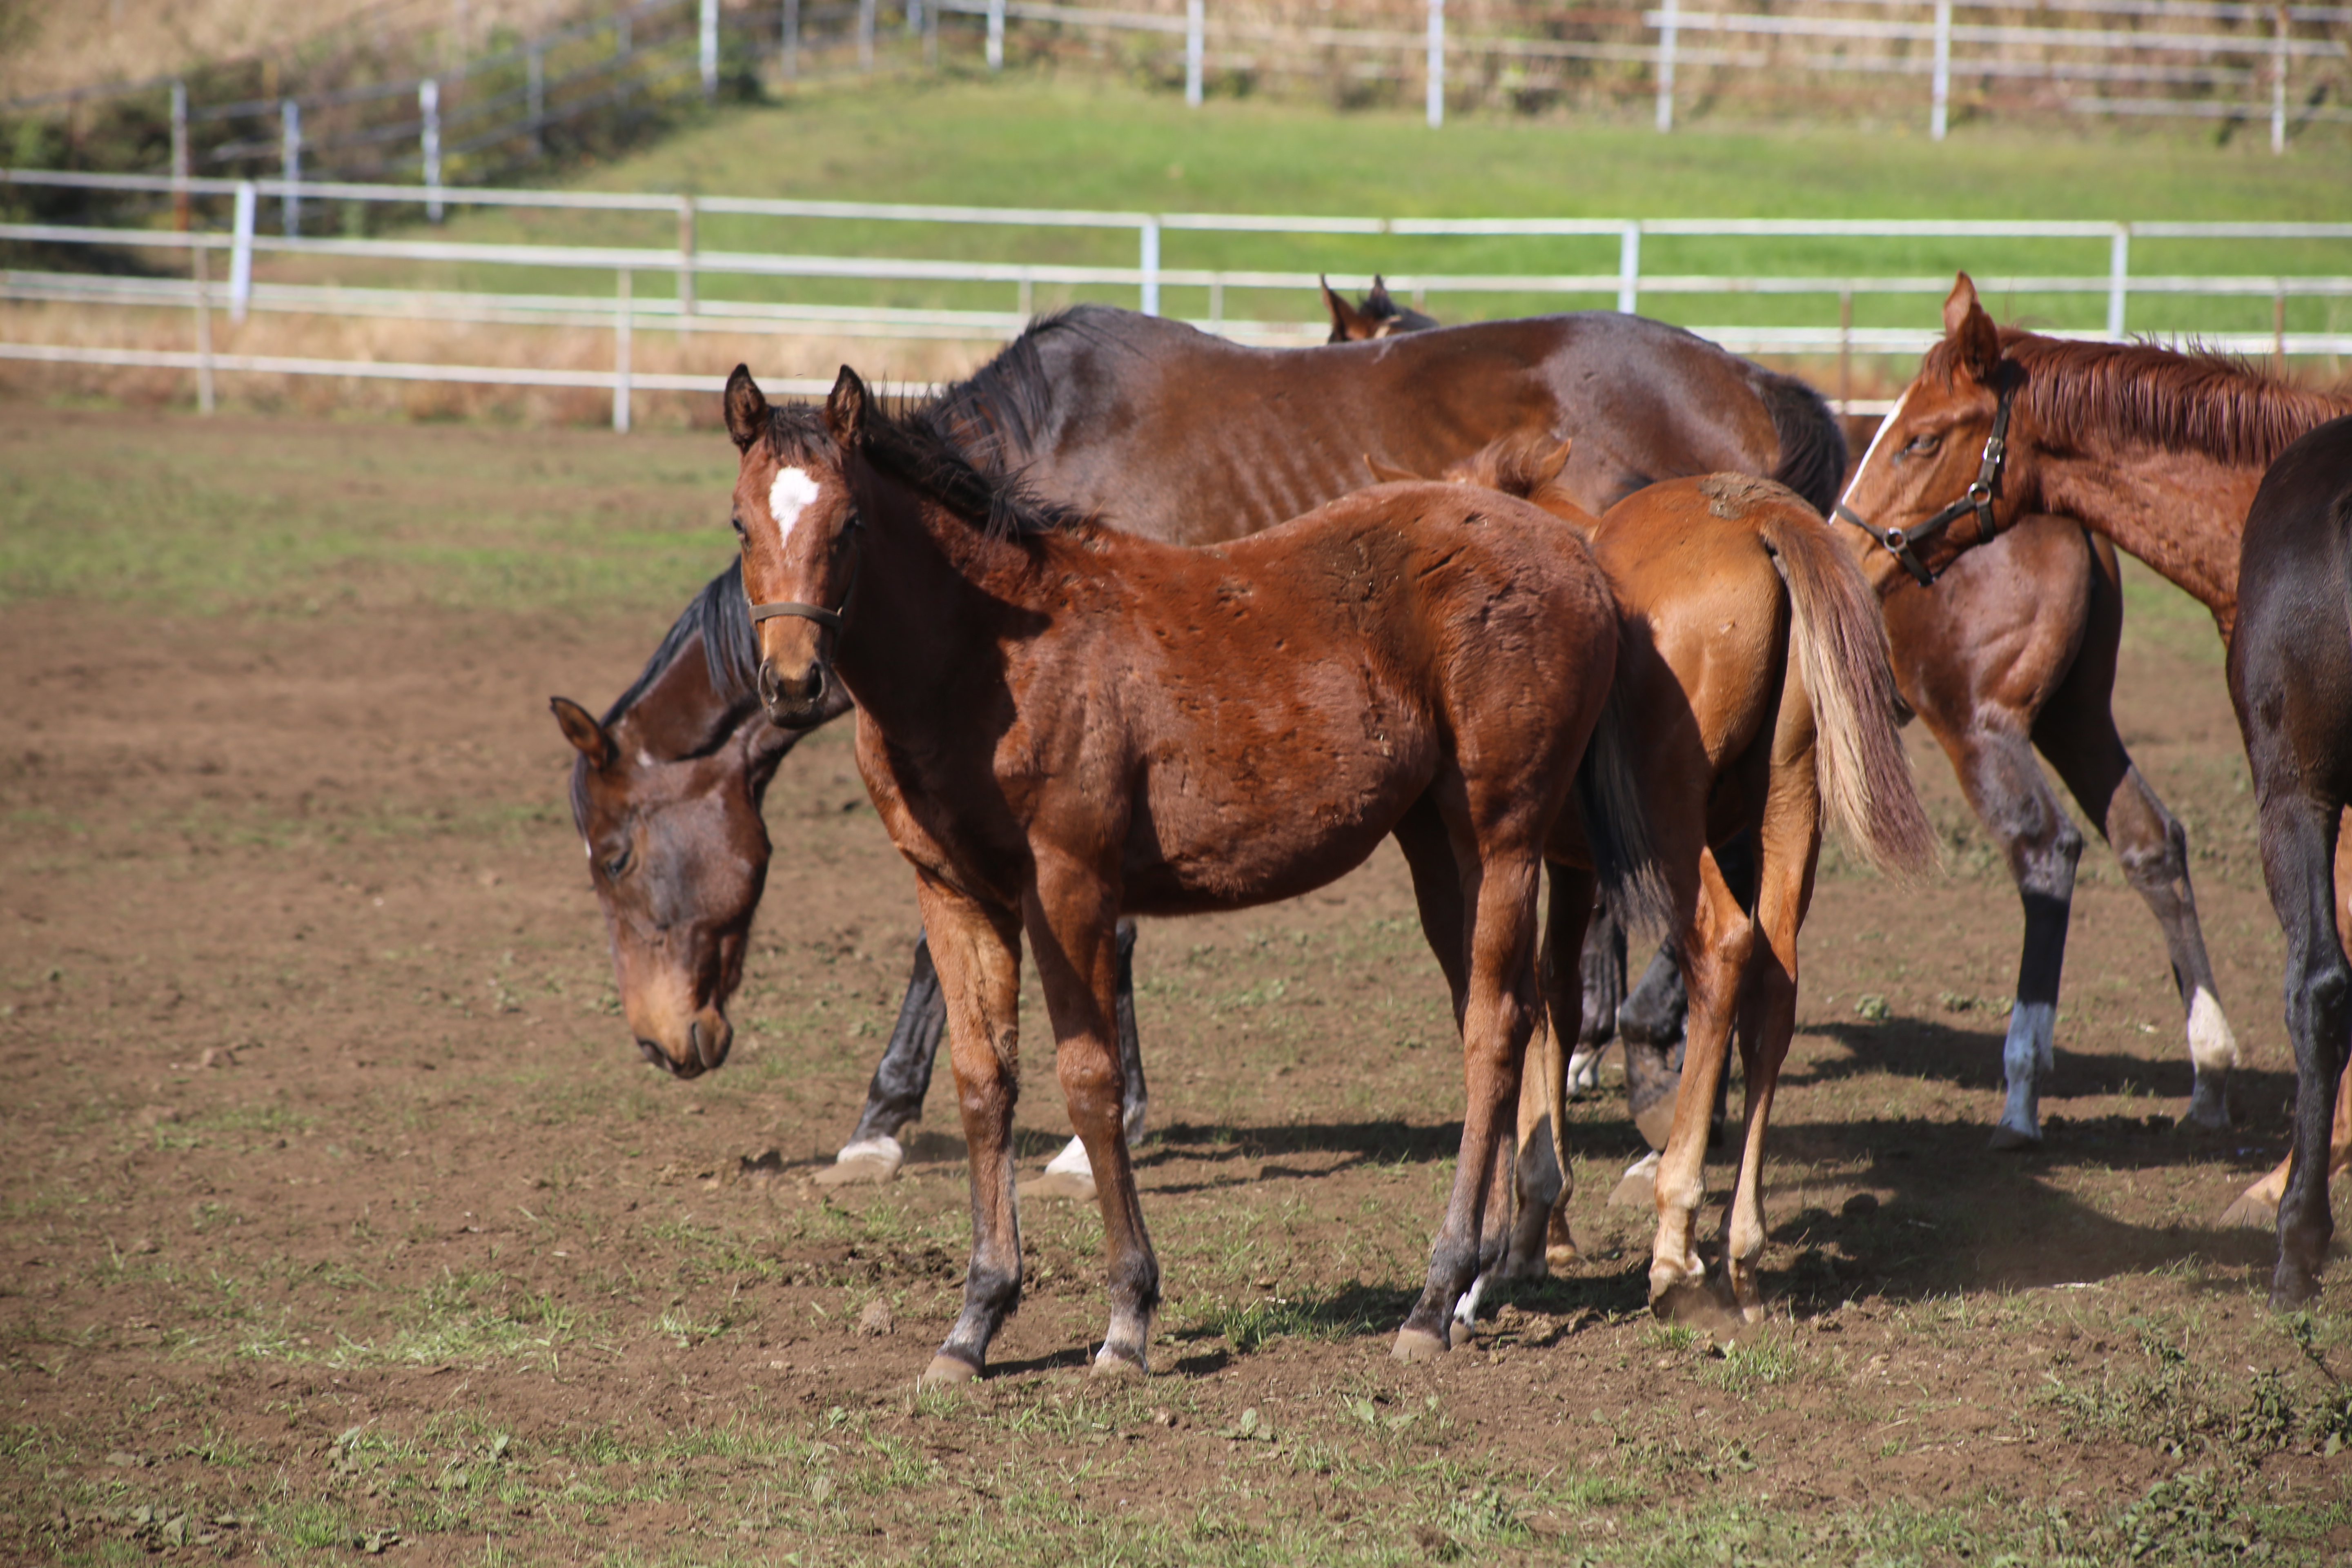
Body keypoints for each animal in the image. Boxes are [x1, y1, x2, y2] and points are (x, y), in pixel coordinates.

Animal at [724, 364, 1665, 1373]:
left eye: (851, 521)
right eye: (740, 523)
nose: (791, 682)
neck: (989, 656)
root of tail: (1573, 547)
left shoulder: (1069, 883)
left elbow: (1090, 1081)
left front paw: (1127, 1317)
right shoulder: (951, 891)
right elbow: (984, 1085)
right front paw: (975, 1320)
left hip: (1504, 834)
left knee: (1497, 1027)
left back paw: (1435, 1294)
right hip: (1436, 843)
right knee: (1494, 1020)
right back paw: (1471, 1287)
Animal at [1383, 442, 1938, 1326]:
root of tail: (1749, 515)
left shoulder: (1520, 859)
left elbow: (1523, 1008)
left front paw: (1509, 1245)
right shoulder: (1573, 868)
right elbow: (1557, 1003)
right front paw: (1543, 1230)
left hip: (1675, 827)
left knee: (1723, 948)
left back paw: (1675, 1246)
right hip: (1789, 808)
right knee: (1773, 987)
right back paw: (1742, 1250)